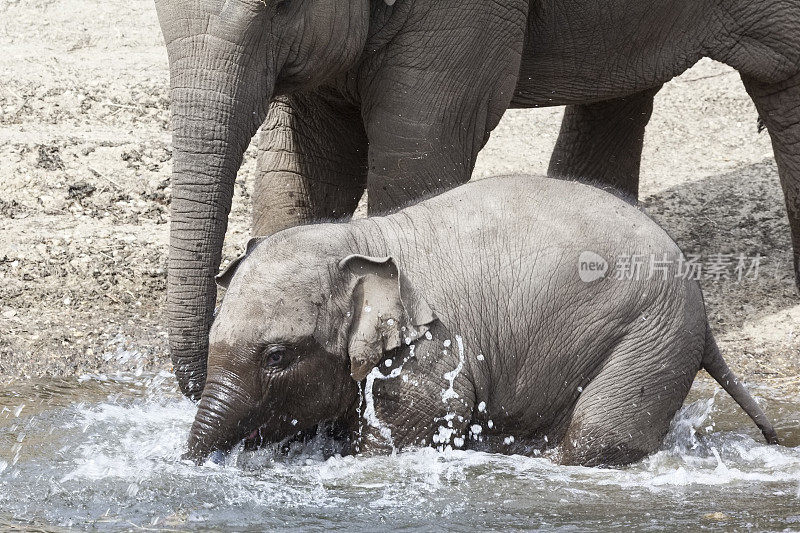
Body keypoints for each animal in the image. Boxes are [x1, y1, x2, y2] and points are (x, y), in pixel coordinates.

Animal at [186, 175, 776, 466]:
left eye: (277, 356)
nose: (191, 465)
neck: (361, 239)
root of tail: (700, 298)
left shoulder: (427, 354)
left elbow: (421, 420)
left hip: (652, 334)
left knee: (598, 437)